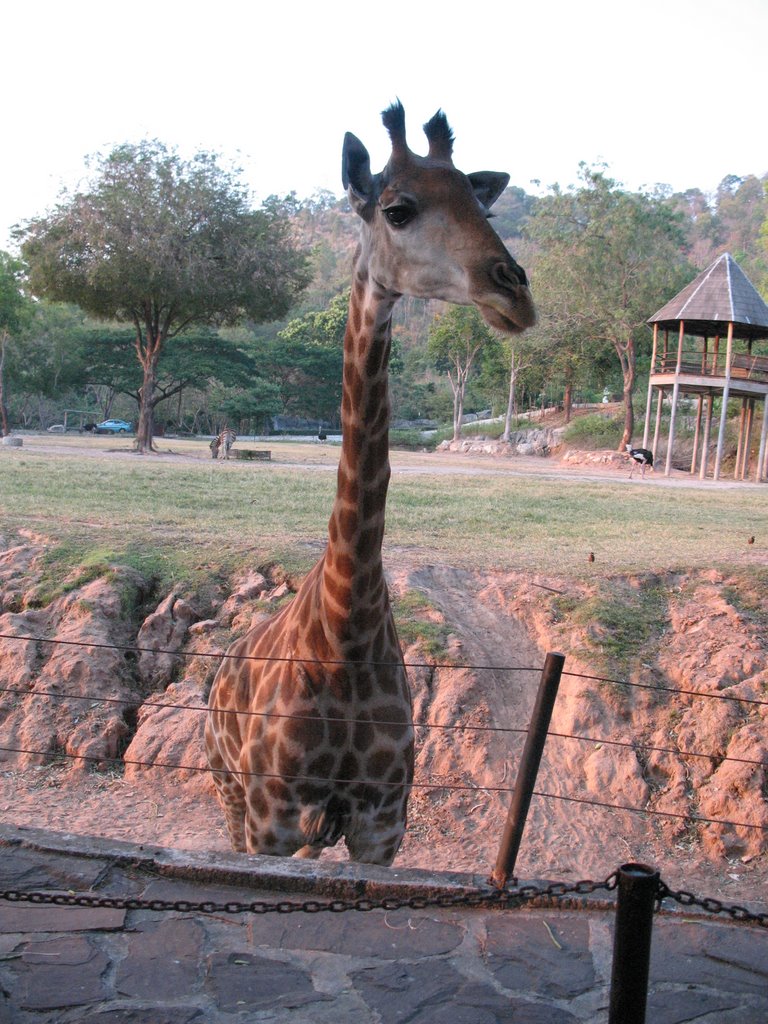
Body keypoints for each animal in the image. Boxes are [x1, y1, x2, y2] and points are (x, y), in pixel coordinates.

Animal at [207, 103, 536, 864]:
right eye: (398, 209)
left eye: (480, 203)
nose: (514, 292)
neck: (346, 630)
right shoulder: (272, 819)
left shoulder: (382, 822)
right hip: (229, 793)